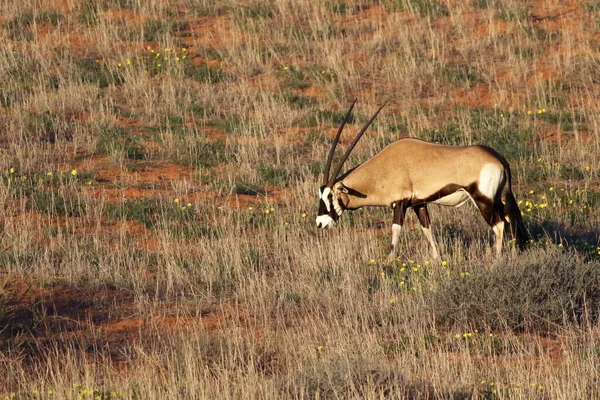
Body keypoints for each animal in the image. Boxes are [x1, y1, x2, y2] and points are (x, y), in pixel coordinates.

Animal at [316, 100, 528, 260]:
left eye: (330, 196)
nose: (320, 223)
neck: (382, 168)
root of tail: (498, 158)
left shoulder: (400, 204)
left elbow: (395, 231)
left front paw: (388, 262)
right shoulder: (419, 204)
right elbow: (427, 229)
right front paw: (437, 260)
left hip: (482, 199)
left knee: (498, 225)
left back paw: (496, 260)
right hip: (494, 198)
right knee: (508, 217)